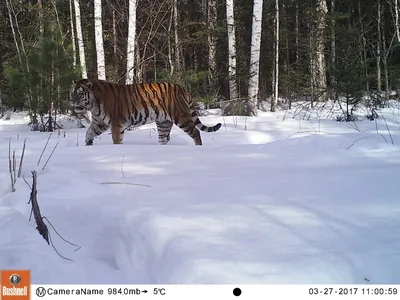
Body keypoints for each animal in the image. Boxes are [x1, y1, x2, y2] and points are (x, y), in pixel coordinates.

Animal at [69, 79, 222, 146]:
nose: (73, 102)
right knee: (163, 139)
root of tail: (181, 87)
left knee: (196, 133)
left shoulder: (116, 124)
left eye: (80, 94)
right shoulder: (99, 123)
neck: (93, 106)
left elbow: (116, 140)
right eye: (72, 93)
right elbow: (89, 132)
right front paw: (88, 144)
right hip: (163, 122)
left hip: (181, 116)